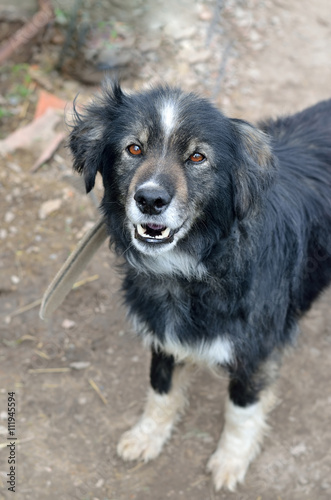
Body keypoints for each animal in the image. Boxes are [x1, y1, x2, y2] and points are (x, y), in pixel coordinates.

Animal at [68, 83, 331, 492]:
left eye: (197, 157)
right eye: (134, 148)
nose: (150, 200)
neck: (196, 268)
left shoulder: (255, 351)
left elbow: (241, 410)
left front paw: (231, 460)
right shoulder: (163, 330)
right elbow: (161, 388)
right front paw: (147, 436)